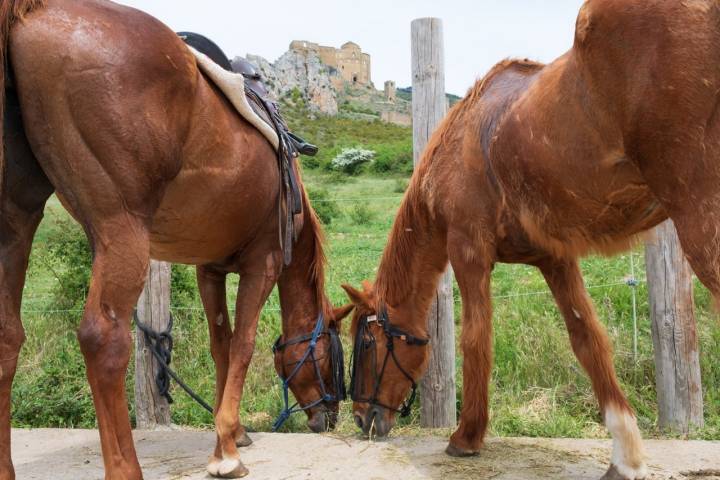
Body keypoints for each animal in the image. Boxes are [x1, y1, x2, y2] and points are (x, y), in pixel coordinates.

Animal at [0, 0, 350, 480]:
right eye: (331, 354)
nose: (329, 417)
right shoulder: (263, 264)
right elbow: (243, 345)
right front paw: (227, 453)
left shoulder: (210, 270)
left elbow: (221, 346)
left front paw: (233, 433)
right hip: (121, 230)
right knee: (103, 339)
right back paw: (126, 469)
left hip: (16, 222)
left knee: (6, 337)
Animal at [342, 0, 720, 480]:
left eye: (366, 343)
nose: (361, 418)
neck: (462, 138)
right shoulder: (556, 259)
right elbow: (588, 340)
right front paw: (626, 454)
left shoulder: (468, 252)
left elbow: (476, 340)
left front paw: (467, 437)